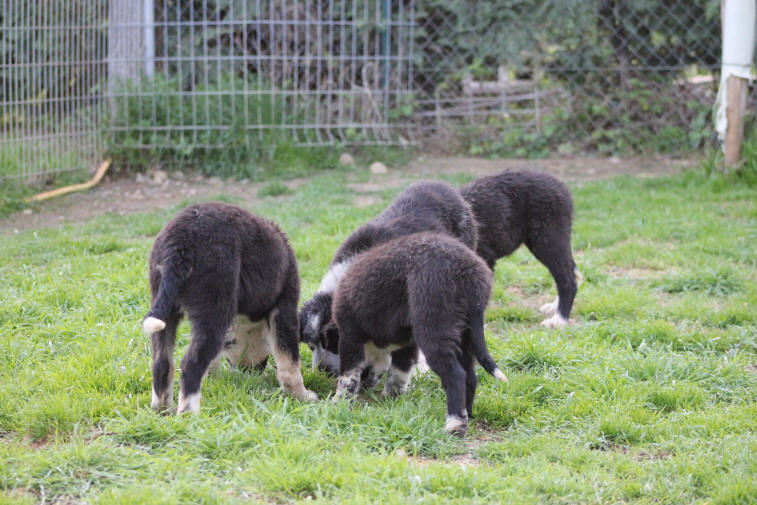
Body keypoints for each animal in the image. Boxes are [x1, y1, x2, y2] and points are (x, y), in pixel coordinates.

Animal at [142, 201, 316, 414]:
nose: (251, 373)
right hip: (214, 307)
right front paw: (302, 396)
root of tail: (179, 248)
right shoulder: (284, 306)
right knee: (191, 363)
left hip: (165, 309)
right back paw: (189, 414)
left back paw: (162, 409)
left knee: (162, 362)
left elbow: (213, 360)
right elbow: (289, 361)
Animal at [334, 230, 504, 436]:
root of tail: (467, 273)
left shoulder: (350, 335)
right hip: (464, 333)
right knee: (470, 376)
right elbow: (398, 373)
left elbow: (348, 375)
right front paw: (391, 399)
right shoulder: (405, 342)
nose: (368, 385)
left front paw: (339, 402)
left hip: (434, 328)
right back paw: (467, 415)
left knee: (455, 375)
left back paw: (455, 423)